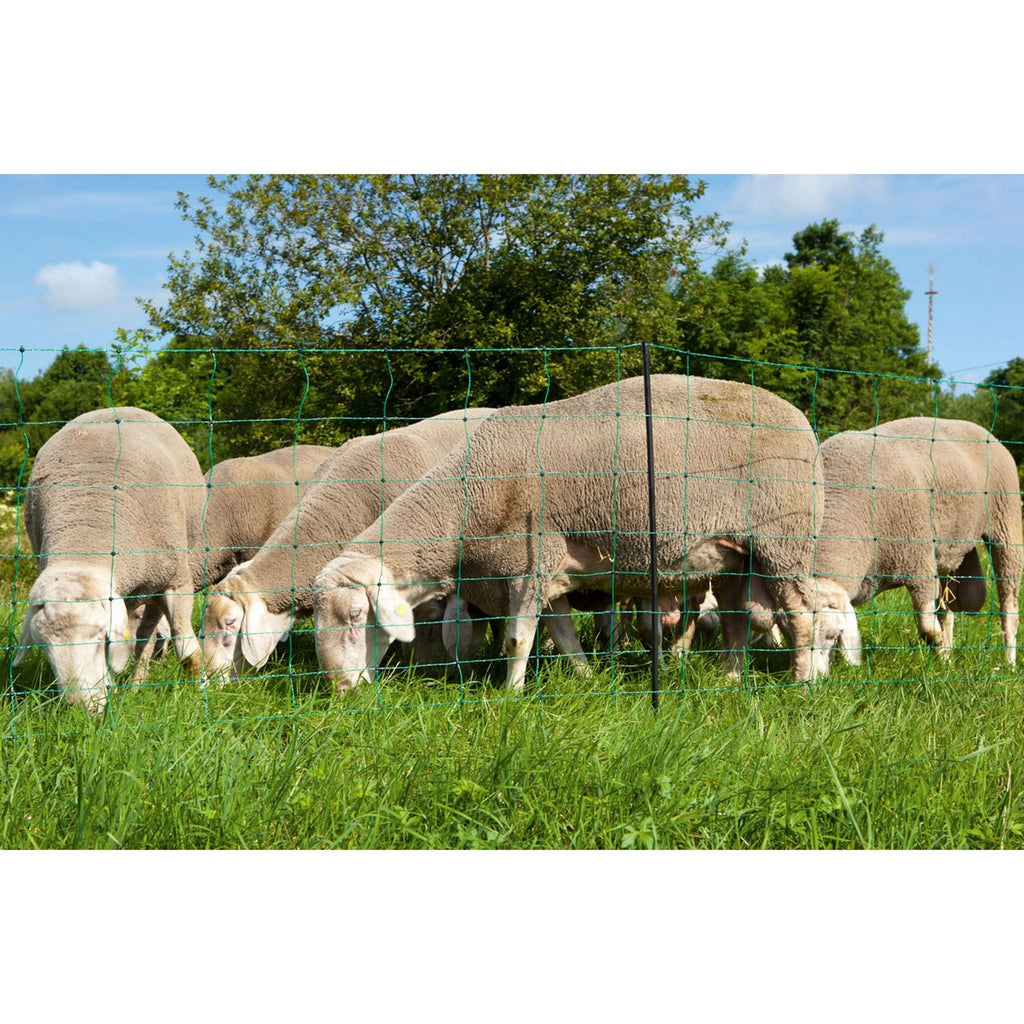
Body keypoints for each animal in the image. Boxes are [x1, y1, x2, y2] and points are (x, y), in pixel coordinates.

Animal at [14, 407, 207, 713]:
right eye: (44, 646)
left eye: (100, 637)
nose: (81, 708)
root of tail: (115, 408)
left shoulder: (176, 581)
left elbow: (187, 651)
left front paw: (202, 697)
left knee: (146, 638)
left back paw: (138, 683)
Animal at [311, 373, 826, 692]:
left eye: (356, 616)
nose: (340, 690)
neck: (464, 506)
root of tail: (801, 420)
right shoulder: (548, 573)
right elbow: (562, 635)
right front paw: (586, 678)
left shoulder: (528, 563)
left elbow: (517, 640)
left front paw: (509, 696)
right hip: (736, 556)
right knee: (738, 622)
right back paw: (729, 680)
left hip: (785, 543)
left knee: (801, 616)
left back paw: (801, 683)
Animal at [802, 417, 1022, 672]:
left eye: (828, 633)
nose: (809, 679)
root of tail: (980, 428)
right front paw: (944, 656)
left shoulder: (919, 559)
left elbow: (927, 627)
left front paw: (940, 649)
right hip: (949, 549)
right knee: (947, 608)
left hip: (1006, 522)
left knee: (1009, 606)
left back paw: (1009, 662)